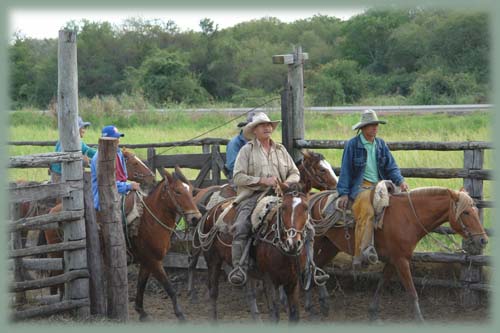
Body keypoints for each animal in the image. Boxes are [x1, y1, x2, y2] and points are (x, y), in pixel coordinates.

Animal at [197, 182, 310, 322]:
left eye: (306, 208)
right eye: (283, 207)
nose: (293, 243)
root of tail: (210, 211)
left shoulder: (293, 282)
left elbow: (294, 316)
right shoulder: (269, 281)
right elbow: (274, 315)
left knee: (250, 295)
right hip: (213, 260)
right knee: (213, 292)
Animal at [308, 185, 488, 320]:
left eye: (475, 210)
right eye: (466, 212)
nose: (483, 240)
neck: (408, 217)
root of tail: (311, 198)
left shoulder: (393, 260)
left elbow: (382, 283)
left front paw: (373, 313)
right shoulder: (401, 260)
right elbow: (412, 292)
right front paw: (420, 320)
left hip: (330, 246)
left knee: (317, 267)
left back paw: (324, 304)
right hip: (315, 241)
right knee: (307, 268)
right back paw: (310, 307)